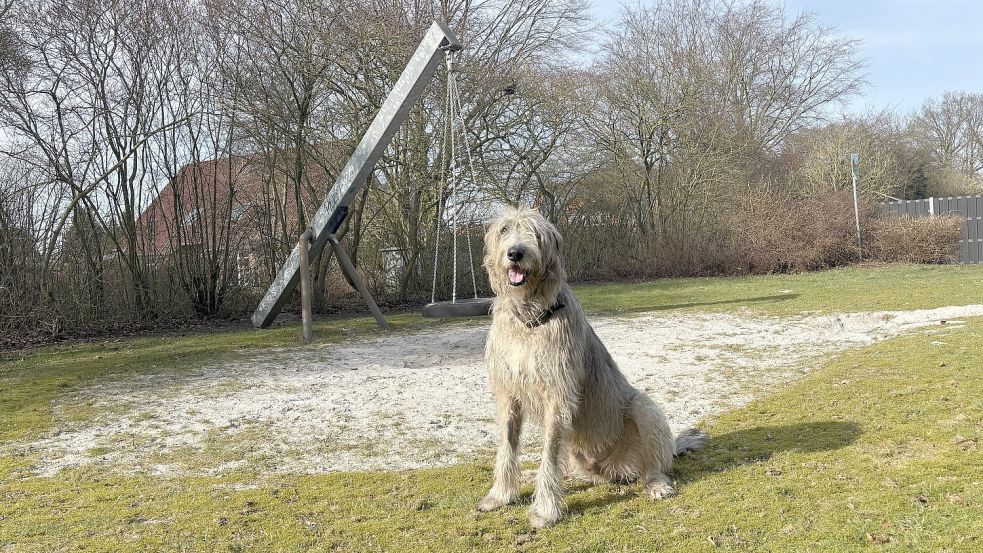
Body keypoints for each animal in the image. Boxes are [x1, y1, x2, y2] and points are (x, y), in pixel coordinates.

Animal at [476, 206, 708, 528]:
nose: (515, 253)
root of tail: (614, 469)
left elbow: (550, 452)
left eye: (536, 233)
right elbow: (508, 446)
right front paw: (500, 495)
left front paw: (545, 510)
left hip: (643, 409)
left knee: (654, 462)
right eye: (504, 230)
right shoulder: (508, 391)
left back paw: (657, 484)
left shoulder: (558, 395)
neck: (531, 319)